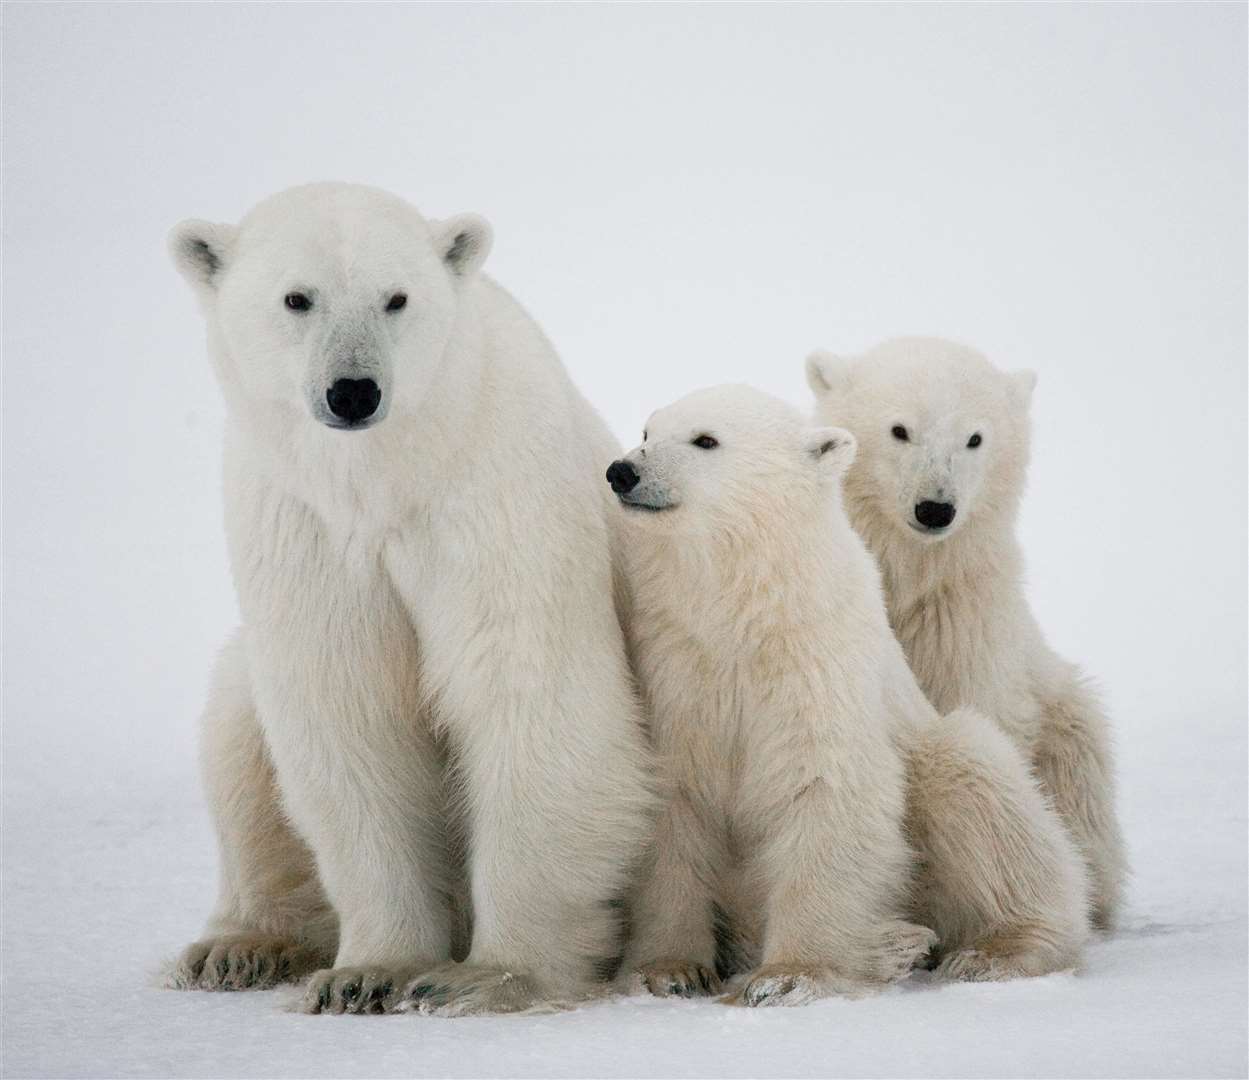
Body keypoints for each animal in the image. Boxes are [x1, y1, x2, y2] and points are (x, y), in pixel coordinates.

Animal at [166, 181, 654, 1013]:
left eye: (396, 297)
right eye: (297, 297)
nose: (353, 391)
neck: (389, 476)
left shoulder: (490, 498)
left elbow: (527, 693)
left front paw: (487, 976)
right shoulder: (304, 525)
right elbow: (349, 715)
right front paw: (366, 972)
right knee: (235, 730)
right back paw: (235, 947)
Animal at [609, 384, 1089, 993]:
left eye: (705, 440)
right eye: (648, 432)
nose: (622, 471)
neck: (748, 615)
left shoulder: (818, 664)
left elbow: (826, 783)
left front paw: (789, 976)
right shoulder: (676, 667)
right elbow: (674, 806)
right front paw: (667, 971)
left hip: (935, 754)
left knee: (980, 789)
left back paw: (989, 950)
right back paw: (894, 945)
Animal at [804, 337, 1129, 928]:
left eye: (975, 437)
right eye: (899, 429)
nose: (935, 508)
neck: (909, 577)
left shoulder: (962, 621)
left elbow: (973, 713)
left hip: (1064, 723)